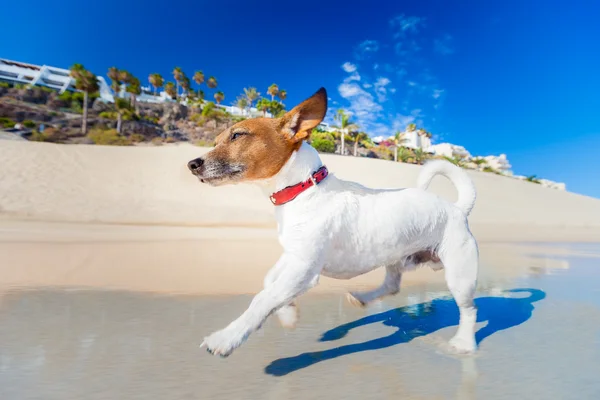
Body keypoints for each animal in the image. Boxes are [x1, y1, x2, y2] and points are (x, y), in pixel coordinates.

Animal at [188, 86, 478, 356]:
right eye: (216, 140)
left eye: (237, 135)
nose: (192, 164)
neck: (302, 189)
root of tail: (457, 208)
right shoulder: (293, 255)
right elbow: (270, 282)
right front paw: (288, 312)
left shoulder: (303, 268)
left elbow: (263, 298)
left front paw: (227, 337)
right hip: (396, 258)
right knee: (392, 286)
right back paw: (363, 298)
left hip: (459, 274)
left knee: (469, 309)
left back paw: (464, 343)